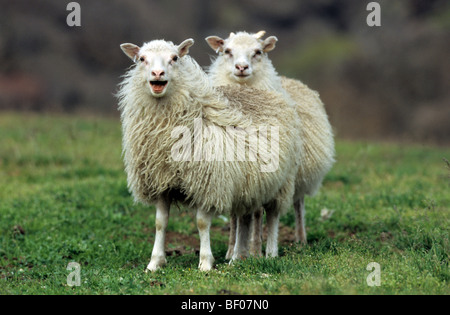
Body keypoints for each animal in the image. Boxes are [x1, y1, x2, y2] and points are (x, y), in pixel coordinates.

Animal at [118, 39, 304, 272]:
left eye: (175, 58)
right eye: (141, 59)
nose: (158, 73)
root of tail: (268, 93)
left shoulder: (208, 183)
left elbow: (202, 223)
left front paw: (206, 262)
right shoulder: (161, 181)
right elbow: (160, 223)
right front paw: (154, 263)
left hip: (281, 182)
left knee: (272, 215)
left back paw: (270, 254)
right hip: (246, 185)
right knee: (243, 218)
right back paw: (237, 258)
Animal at [207, 29, 334, 258]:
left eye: (258, 52)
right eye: (227, 51)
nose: (241, 68)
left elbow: (258, 213)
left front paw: (255, 250)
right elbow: (234, 215)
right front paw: (231, 250)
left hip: (294, 174)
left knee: (297, 204)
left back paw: (299, 239)